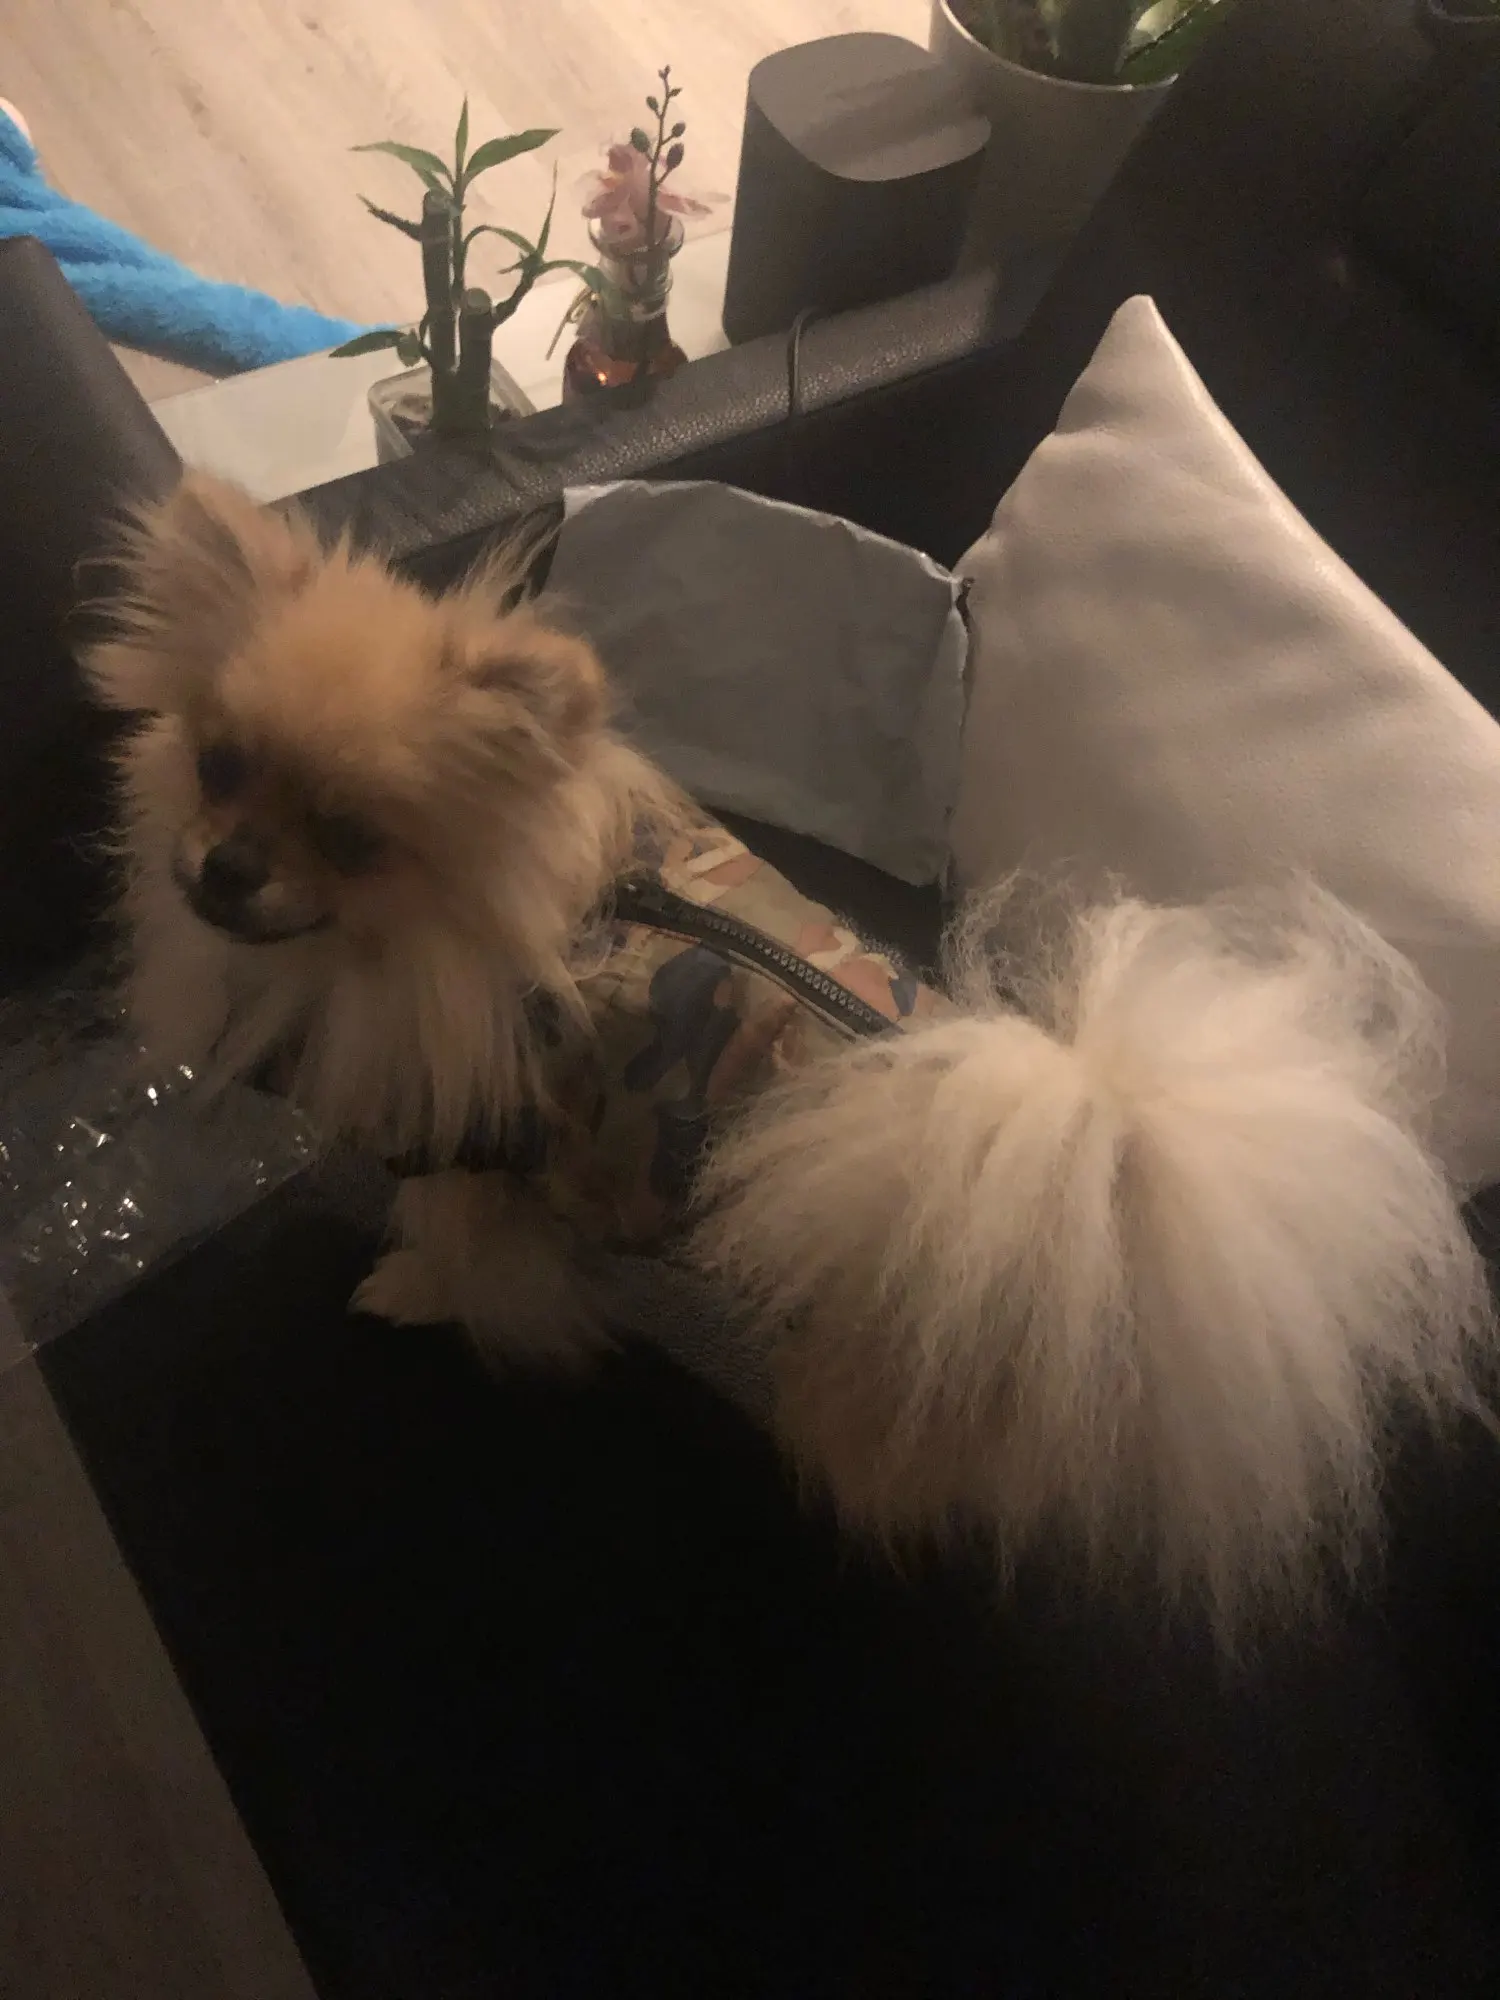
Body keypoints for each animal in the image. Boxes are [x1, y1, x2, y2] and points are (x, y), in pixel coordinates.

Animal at [86, 473, 1492, 1643]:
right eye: (218, 763)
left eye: (351, 836)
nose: (224, 864)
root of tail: (1102, 1194)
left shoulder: (477, 1152)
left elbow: (461, 1251)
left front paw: (412, 1288)